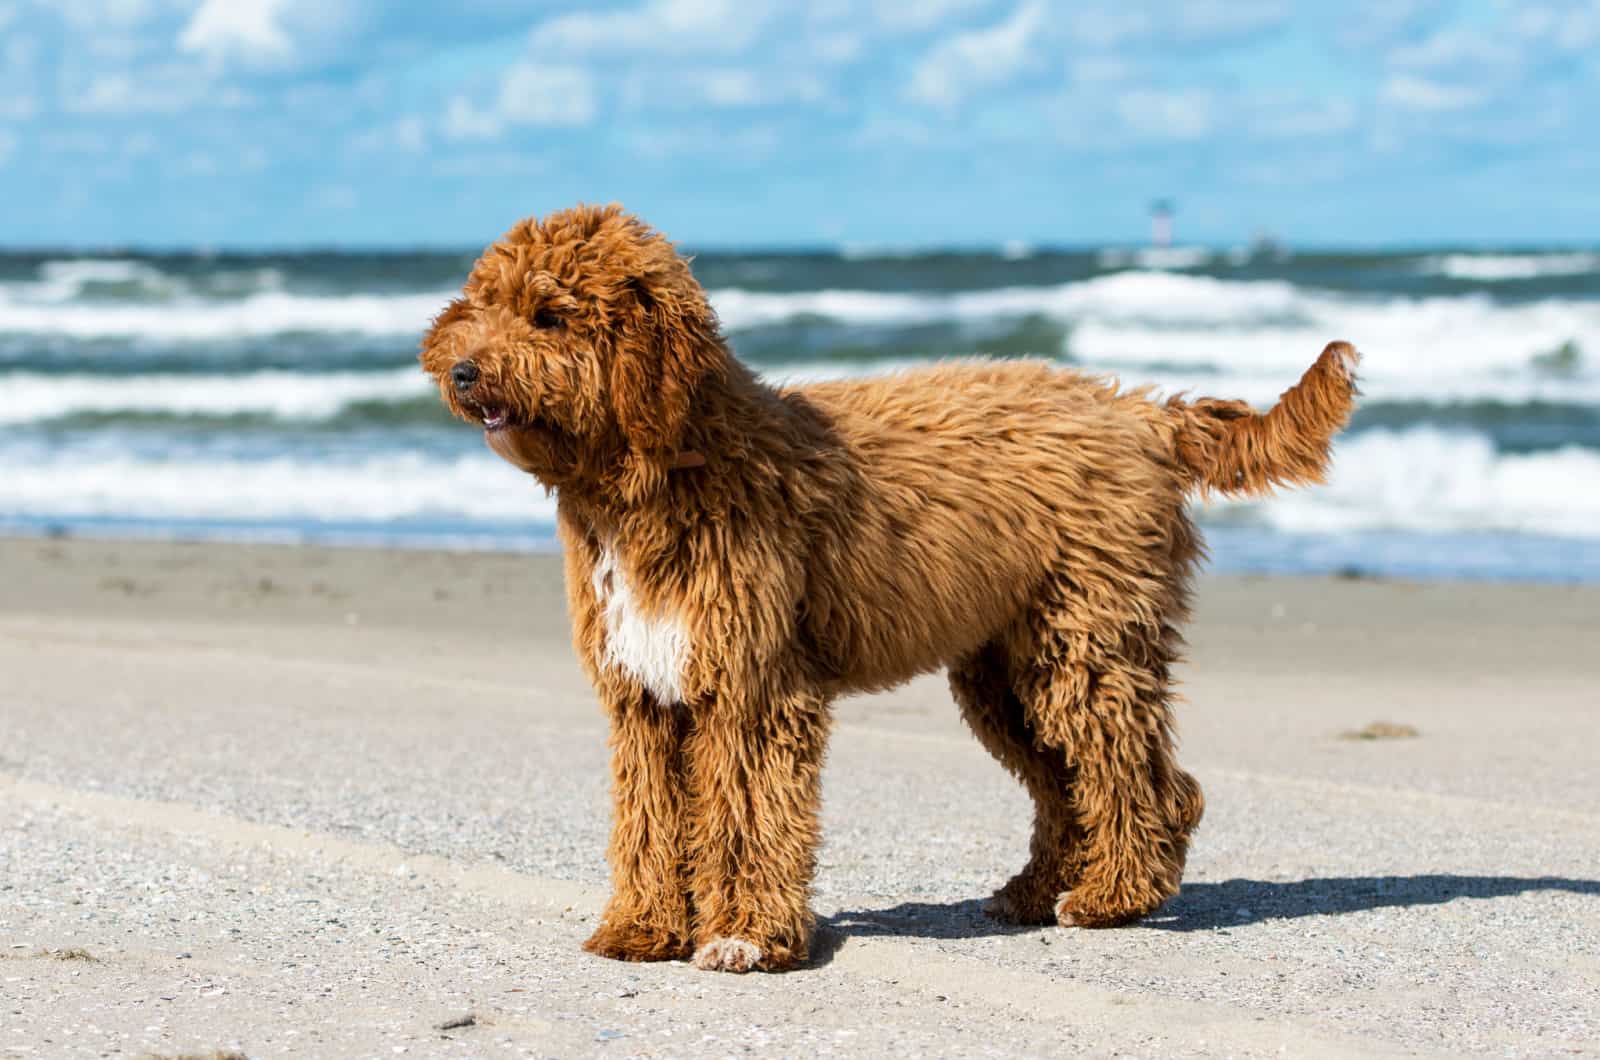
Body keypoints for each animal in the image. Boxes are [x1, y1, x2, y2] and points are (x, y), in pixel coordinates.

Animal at [419, 203, 1356, 973]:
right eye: (484, 302)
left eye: (549, 314)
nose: (461, 371)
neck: (672, 466)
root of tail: (1141, 412)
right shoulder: (644, 693)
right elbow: (648, 817)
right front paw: (642, 929)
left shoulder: (753, 688)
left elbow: (748, 811)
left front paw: (747, 936)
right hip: (1007, 671)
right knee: (1070, 782)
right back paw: (1034, 891)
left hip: (1084, 643)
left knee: (1140, 776)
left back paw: (1113, 895)